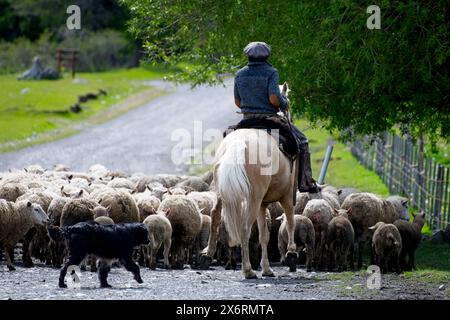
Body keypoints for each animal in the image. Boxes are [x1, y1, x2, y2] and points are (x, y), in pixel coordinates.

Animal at [200, 84, 298, 278]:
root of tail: (237, 144)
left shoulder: (263, 204)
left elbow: (264, 235)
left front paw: (267, 268)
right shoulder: (286, 195)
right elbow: (290, 220)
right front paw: (291, 254)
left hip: (225, 194)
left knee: (215, 216)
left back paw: (208, 254)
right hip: (253, 199)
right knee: (244, 228)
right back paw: (248, 269)